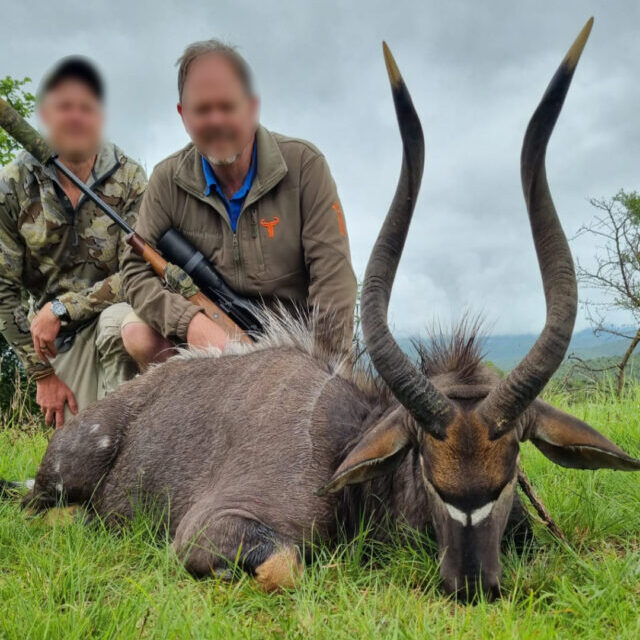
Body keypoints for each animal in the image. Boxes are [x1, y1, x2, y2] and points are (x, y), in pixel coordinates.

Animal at [8, 18, 640, 601]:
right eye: (428, 469)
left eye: (510, 470)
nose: (472, 583)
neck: (348, 436)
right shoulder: (209, 530)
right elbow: (285, 566)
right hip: (58, 482)